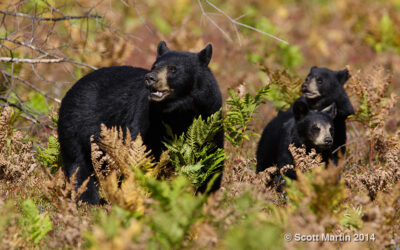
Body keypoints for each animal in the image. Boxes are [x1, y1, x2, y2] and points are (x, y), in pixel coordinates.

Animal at [57, 41, 223, 204]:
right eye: (154, 66)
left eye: (173, 69)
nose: (150, 78)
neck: (180, 110)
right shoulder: (147, 119)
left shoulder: (210, 114)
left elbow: (211, 159)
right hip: (74, 128)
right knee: (78, 166)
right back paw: (88, 201)